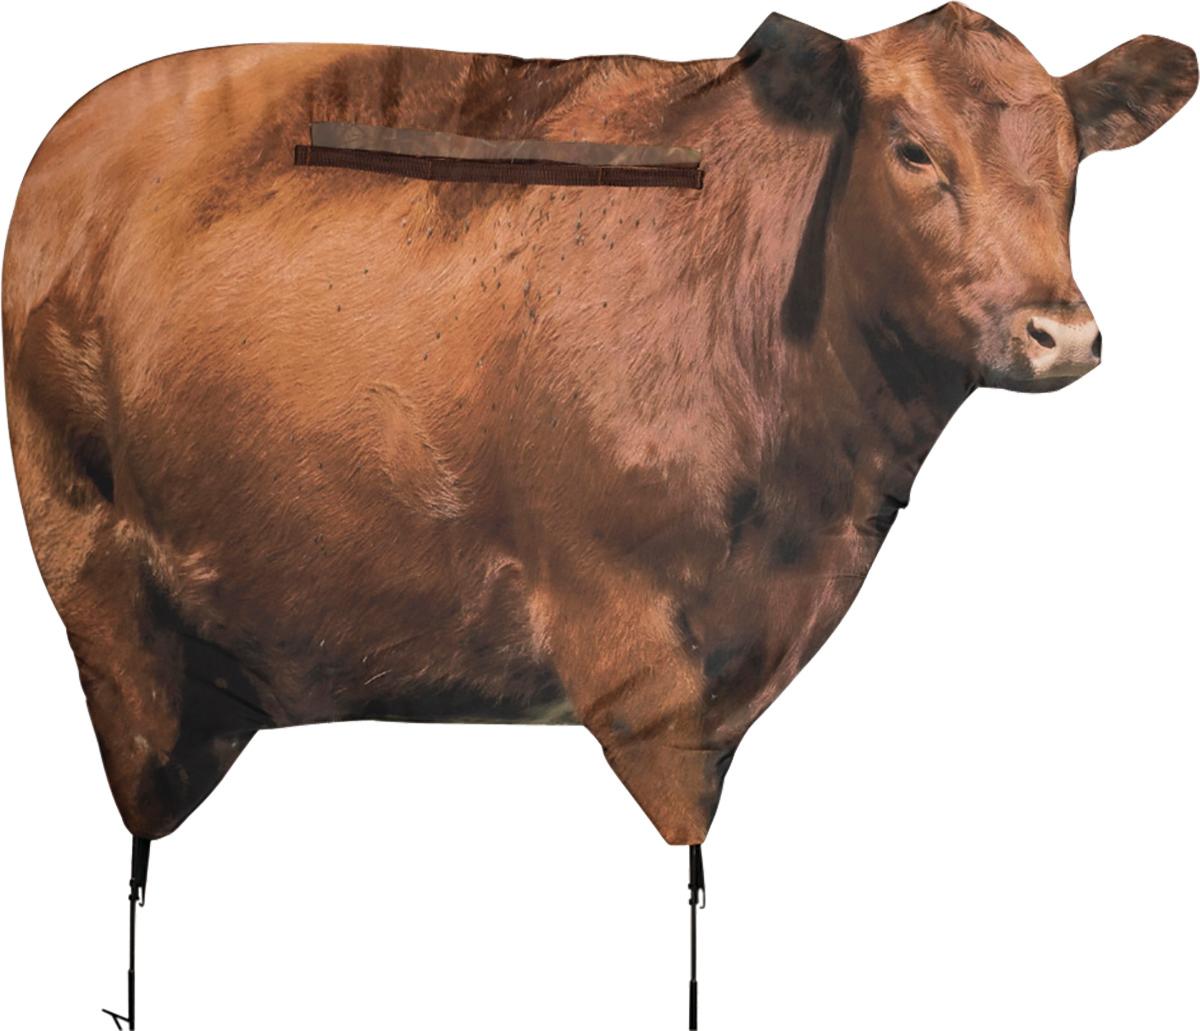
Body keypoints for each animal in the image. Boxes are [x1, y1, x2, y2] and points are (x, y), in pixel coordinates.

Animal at [3, 5, 1195, 858]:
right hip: (93, 568)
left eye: (1076, 159)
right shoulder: (616, 621)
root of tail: (72, 133)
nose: (1060, 332)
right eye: (912, 150)